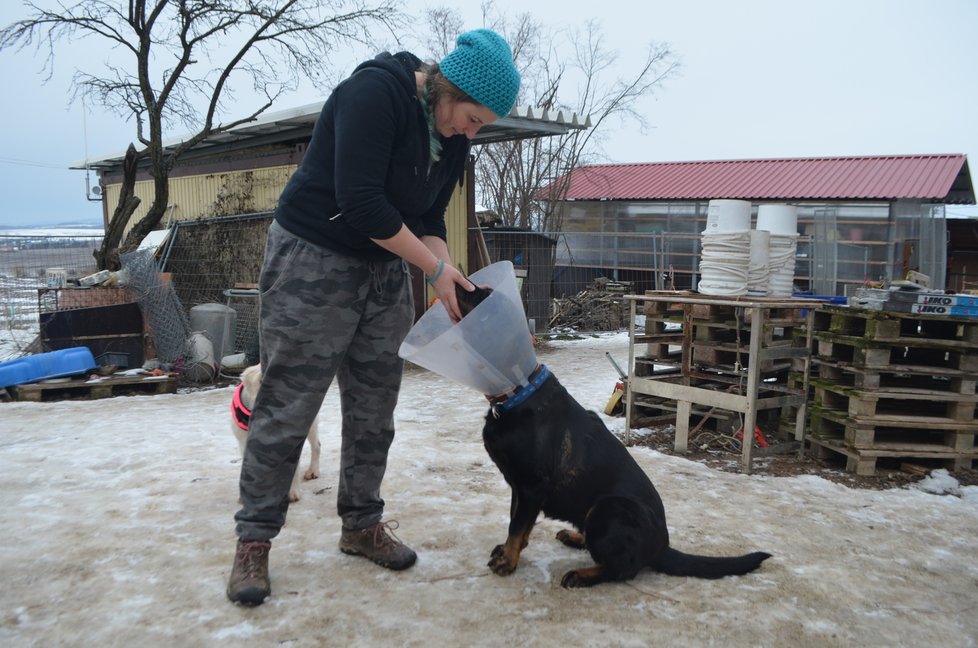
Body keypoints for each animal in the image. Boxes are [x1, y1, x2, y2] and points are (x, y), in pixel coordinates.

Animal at [458, 284, 772, 588]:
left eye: (485, 299)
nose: (465, 285)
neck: (518, 393)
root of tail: (661, 546)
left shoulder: (531, 486)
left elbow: (516, 527)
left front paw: (507, 562)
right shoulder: (519, 487)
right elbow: (517, 524)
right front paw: (508, 552)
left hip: (608, 508)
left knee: (623, 568)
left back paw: (582, 575)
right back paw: (576, 538)